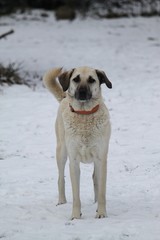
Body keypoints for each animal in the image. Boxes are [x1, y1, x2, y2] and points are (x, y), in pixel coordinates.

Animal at [43, 66, 112, 219]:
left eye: (92, 80)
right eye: (76, 79)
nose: (82, 92)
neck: (84, 114)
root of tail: (64, 98)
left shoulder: (101, 158)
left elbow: (102, 191)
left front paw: (101, 212)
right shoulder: (73, 161)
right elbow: (76, 195)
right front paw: (75, 215)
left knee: (95, 179)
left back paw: (95, 204)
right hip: (61, 152)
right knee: (60, 178)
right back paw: (62, 201)